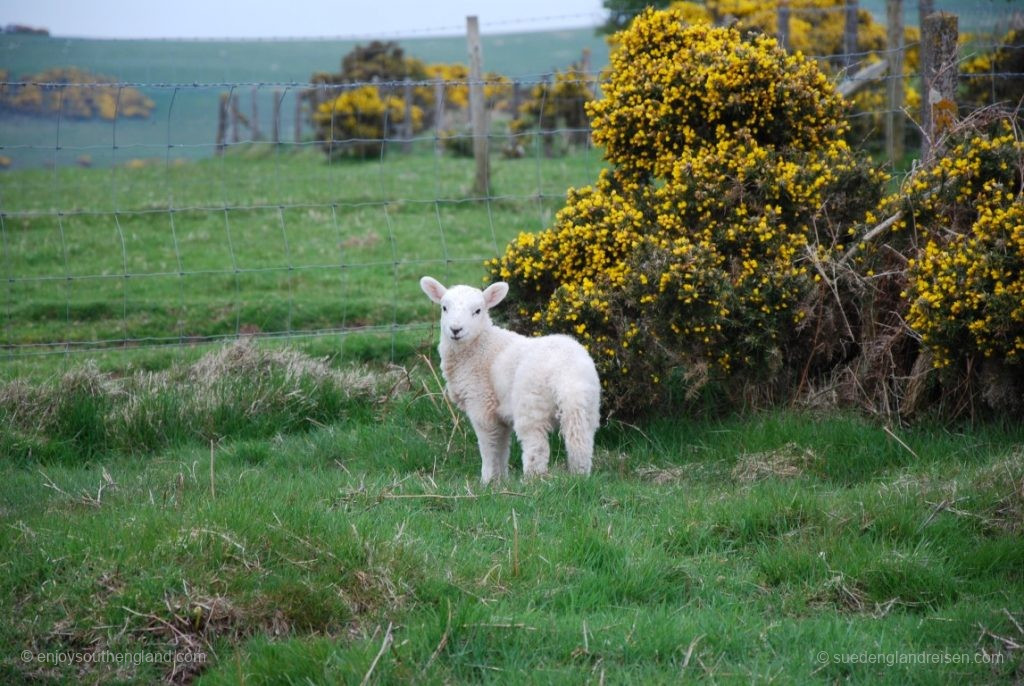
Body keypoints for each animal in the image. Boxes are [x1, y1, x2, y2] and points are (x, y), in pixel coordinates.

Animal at [421, 276, 602, 483]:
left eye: (478, 310)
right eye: (444, 308)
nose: (455, 329)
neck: (479, 346)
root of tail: (567, 374)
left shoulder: (482, 406)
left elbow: (489, 448)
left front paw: (487, 481)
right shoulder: (500, 414)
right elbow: (502, 448)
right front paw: (501, 480)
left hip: (531, 406)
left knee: (536, 448)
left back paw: (532, 481)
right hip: (586, 406)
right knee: (581, 442)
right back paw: (579, 477)